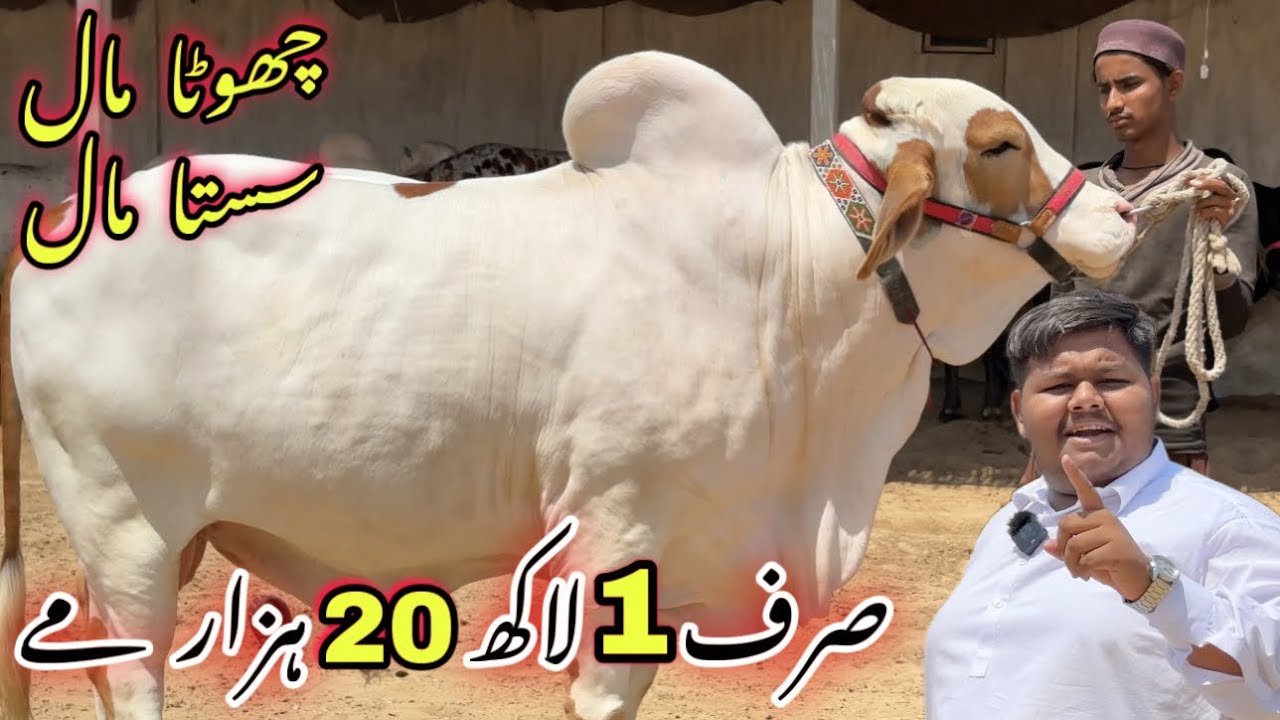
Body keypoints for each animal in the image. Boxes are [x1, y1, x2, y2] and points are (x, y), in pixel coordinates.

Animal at [0, 50, 1138, 720]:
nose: (1123, 214)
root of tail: (54, 230)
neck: (789, 274)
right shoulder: (616, 527)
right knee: (129, 672)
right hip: (127, 528)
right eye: (997, 144)